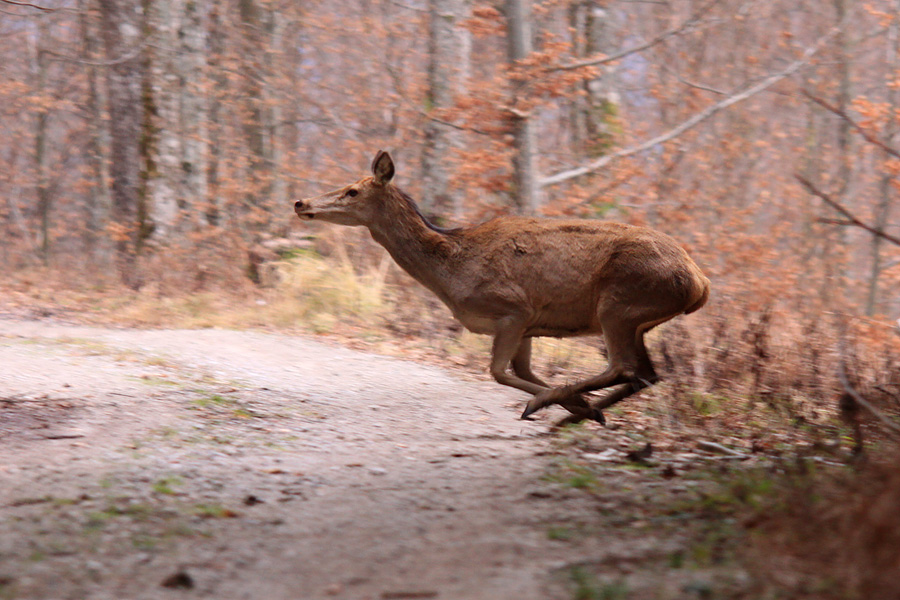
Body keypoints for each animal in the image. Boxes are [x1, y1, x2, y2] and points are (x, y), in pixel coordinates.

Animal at [296, 150, 712, 424]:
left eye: (352, 190)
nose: (301, 202)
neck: (451, 272)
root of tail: (700, 283)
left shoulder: (514, 309)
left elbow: (498, 372)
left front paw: (555, 403)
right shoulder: (528, 326)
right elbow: (523, 372)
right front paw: (580, 406)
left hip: (618, 304)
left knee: (623, 366)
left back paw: (552, 407)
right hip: (638, 318)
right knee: (647, 373)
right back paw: (577, 414)